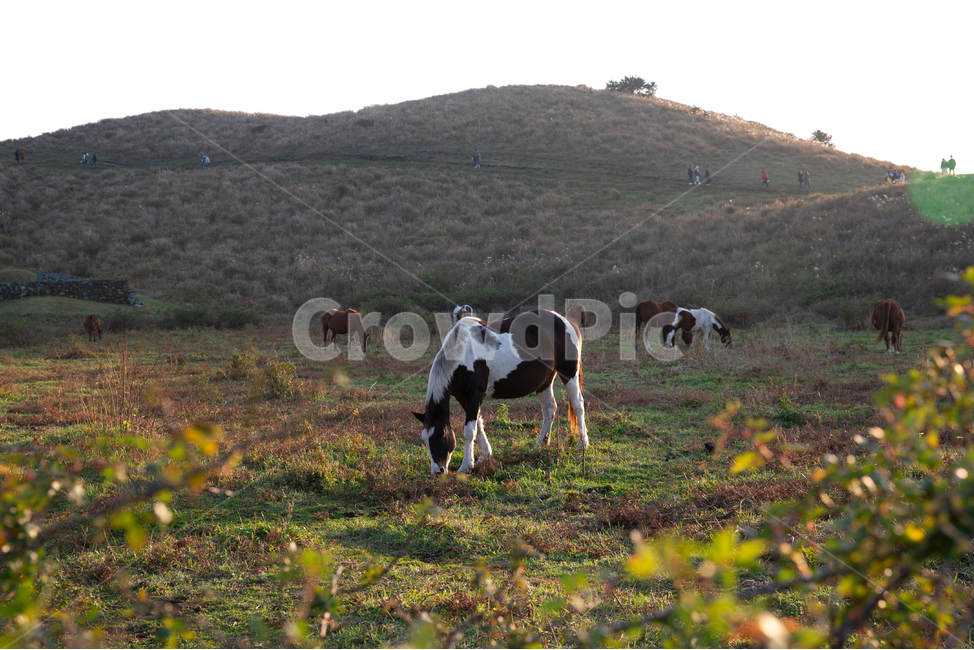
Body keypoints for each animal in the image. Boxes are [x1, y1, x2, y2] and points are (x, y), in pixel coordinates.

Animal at [413, 309, 588, 475]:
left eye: (441, 435)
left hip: (569, 373)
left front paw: (466, 465)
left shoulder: (474, 395)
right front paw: (485, 456)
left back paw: (582, 443)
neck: (464, 351)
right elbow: (479, 424)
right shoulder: (463, 397)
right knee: (549, 409)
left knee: (578, 405)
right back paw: (540, 446)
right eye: (424, 440)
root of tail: (565, 318)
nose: (438, 471)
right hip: (544, 382)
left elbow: (470, 430)